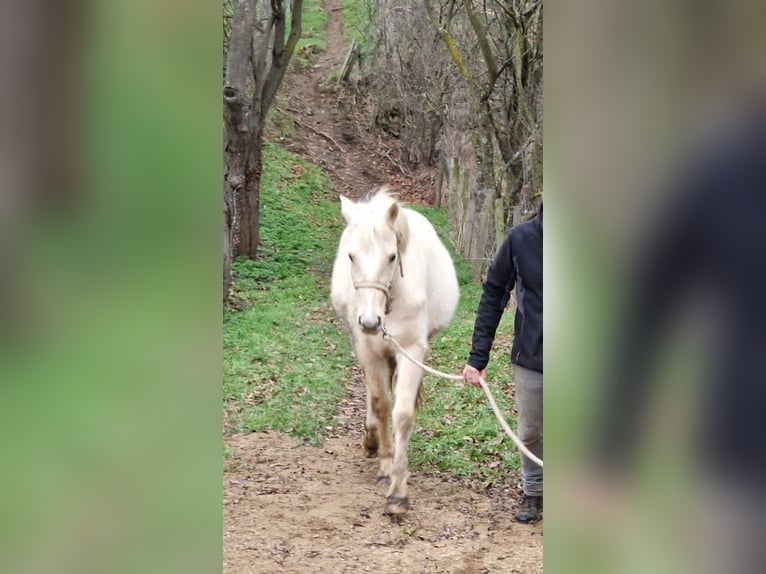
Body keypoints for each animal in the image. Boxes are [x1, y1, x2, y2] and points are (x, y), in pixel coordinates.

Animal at [332, 189, 462, 516]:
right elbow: (380, 403)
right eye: (351, 256)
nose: (369, 322)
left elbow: (402, 413)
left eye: (392, 257)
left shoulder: (411, 351)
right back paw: (371, 440)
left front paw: (398, 491)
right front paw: (385, 466)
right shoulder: (369, 349)